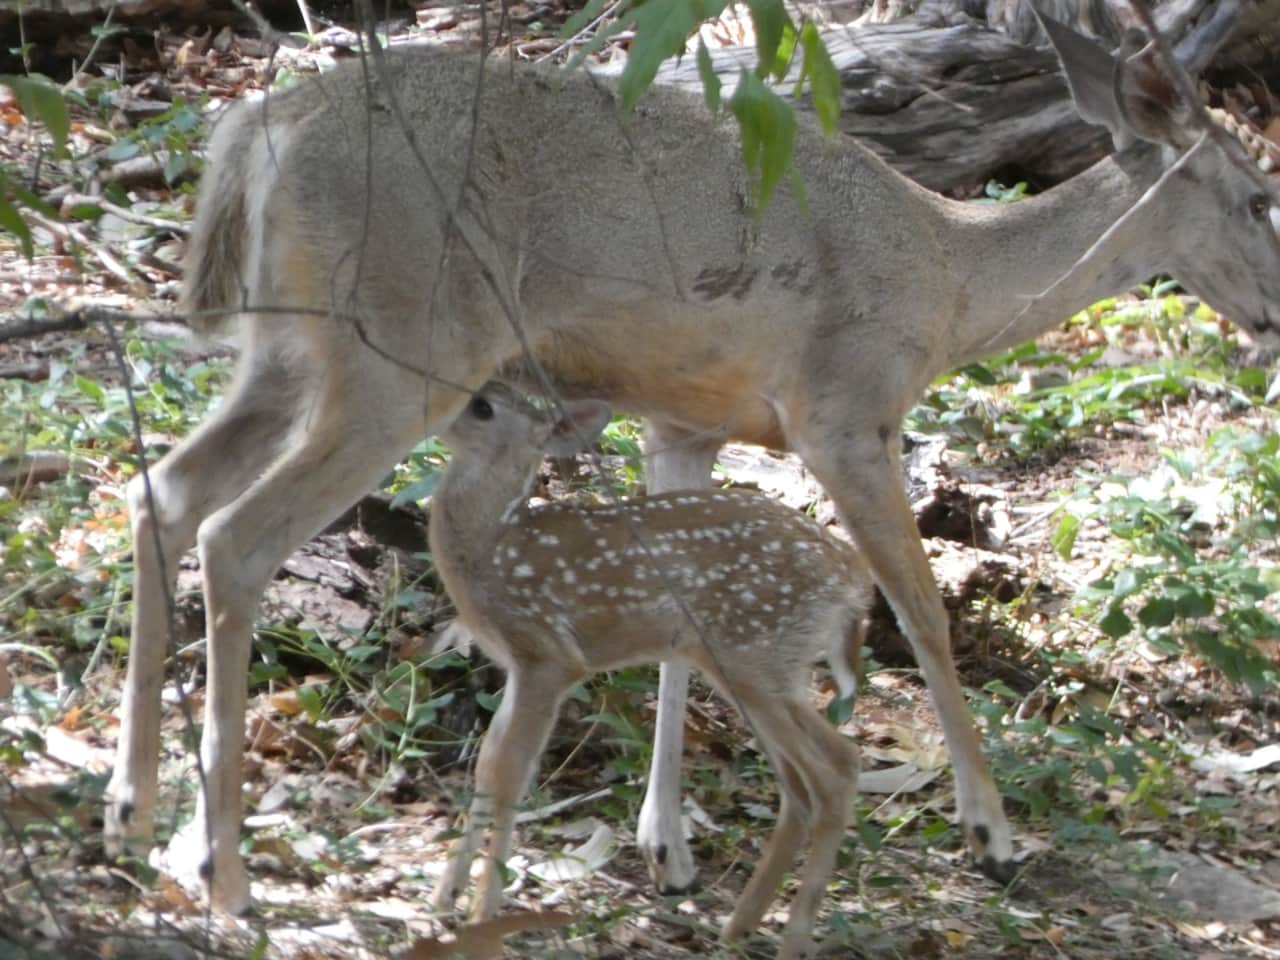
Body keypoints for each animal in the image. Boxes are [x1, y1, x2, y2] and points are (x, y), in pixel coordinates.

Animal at [426, 381, 869, 958]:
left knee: (836, 767)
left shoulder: (548, 655)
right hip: (757, 666)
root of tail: (852, 581)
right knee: (803, 784)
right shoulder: (519, 666)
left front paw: (481, 916)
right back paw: (738, 926)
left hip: (754, 654)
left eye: (482, 406)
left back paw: (790, 939)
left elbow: (509, 776)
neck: (490, 546)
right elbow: (486, 765)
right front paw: (444, 897)